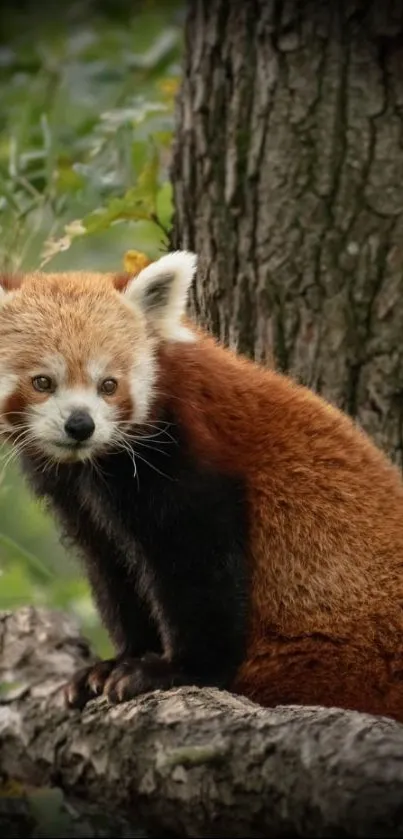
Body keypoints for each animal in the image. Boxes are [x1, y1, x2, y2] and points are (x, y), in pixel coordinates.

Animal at [1, 251, 403, 720]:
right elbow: (114, 571)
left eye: (109, 385)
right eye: (42, 382)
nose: (81, 425)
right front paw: (115, 663)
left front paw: (174, 670)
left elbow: (199, 567)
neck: (94, 466)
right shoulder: (81, 502)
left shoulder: (186, 457)